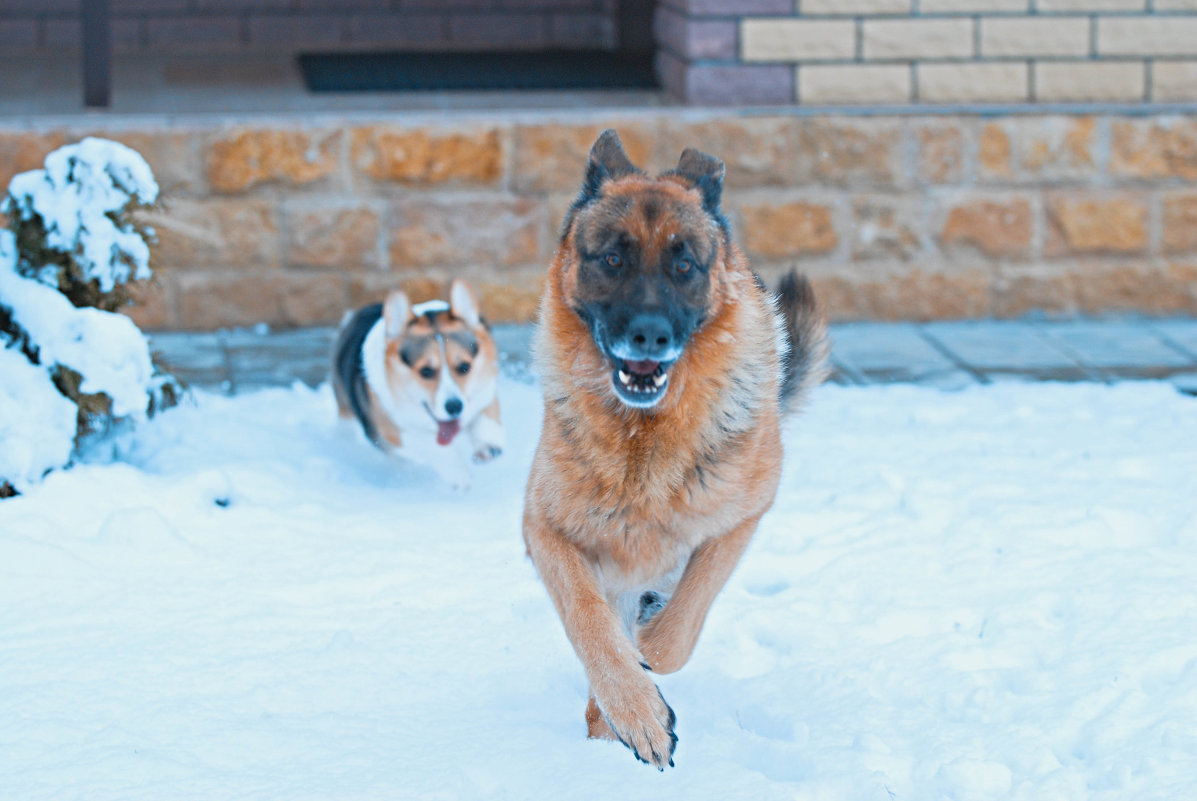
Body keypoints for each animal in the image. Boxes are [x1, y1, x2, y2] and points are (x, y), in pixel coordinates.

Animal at [332, 277, 505, 490]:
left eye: (464, 367)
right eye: (426, 371)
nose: (454, 407)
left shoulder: (485, 393)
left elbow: (486, 419)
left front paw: (488, 445)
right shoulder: (394, 431)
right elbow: (429, 444)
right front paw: (458, 475)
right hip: (345, 413)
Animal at [519, 131, 828, 766]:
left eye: (684, 265)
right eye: (613, 259)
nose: (650, 335)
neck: (646, 437)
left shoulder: (739, 523)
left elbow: (678, 629)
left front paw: (647, 660)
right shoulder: (545, 530)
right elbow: (589, 622)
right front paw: (637, 711)